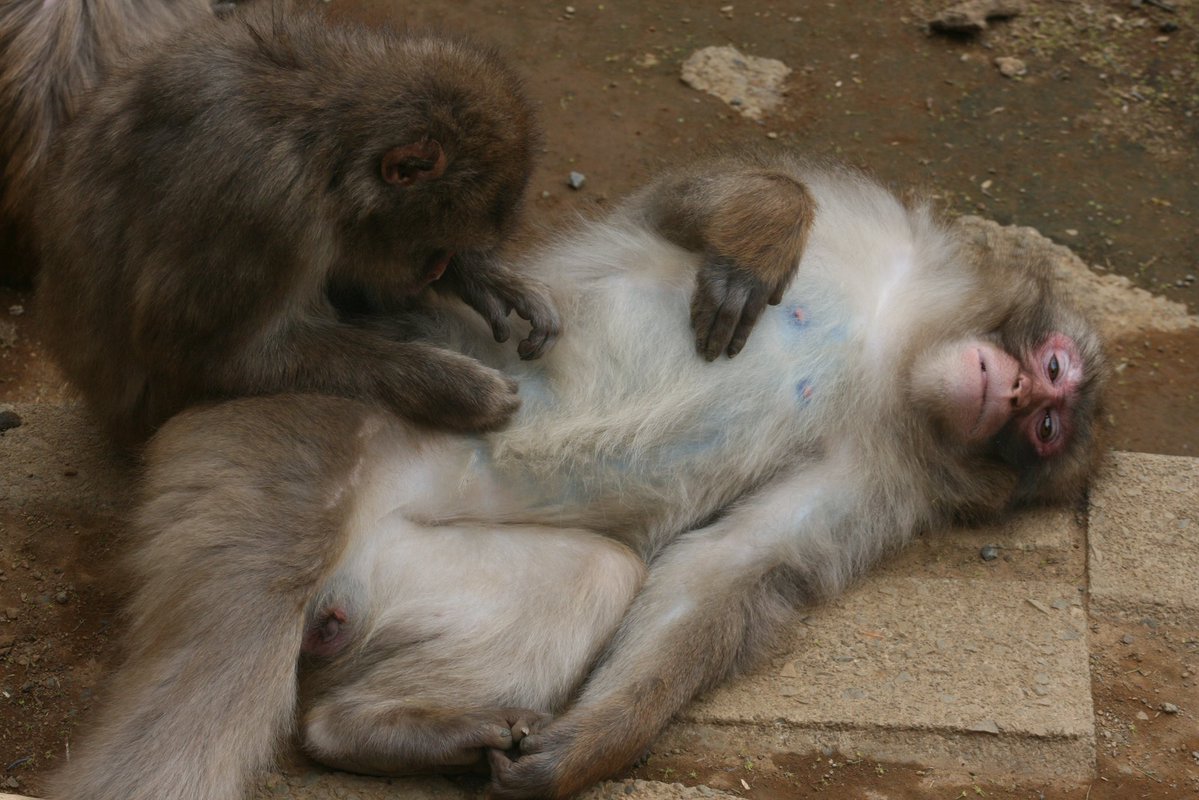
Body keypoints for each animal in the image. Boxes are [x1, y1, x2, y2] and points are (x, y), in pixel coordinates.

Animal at [33, 4, 560, 446]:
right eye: (434, 250)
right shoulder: (268, 210)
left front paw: (485, 279)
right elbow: (201, 354)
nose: (435, 272)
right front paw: (455, 387)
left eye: (447, 252)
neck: (323, 144)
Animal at [47, 152, 1105, 800]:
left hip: (393, 569)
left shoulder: (873, 475)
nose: (1012, 393)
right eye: (1052, 372)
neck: (891, 359)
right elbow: (690, 203)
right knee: (220, 670)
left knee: (598, 571)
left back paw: (374, 731)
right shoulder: (876, 239)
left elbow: (729, 572)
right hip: (286, 445)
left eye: (1048, 428)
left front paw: (583, 752)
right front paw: (761, 234)